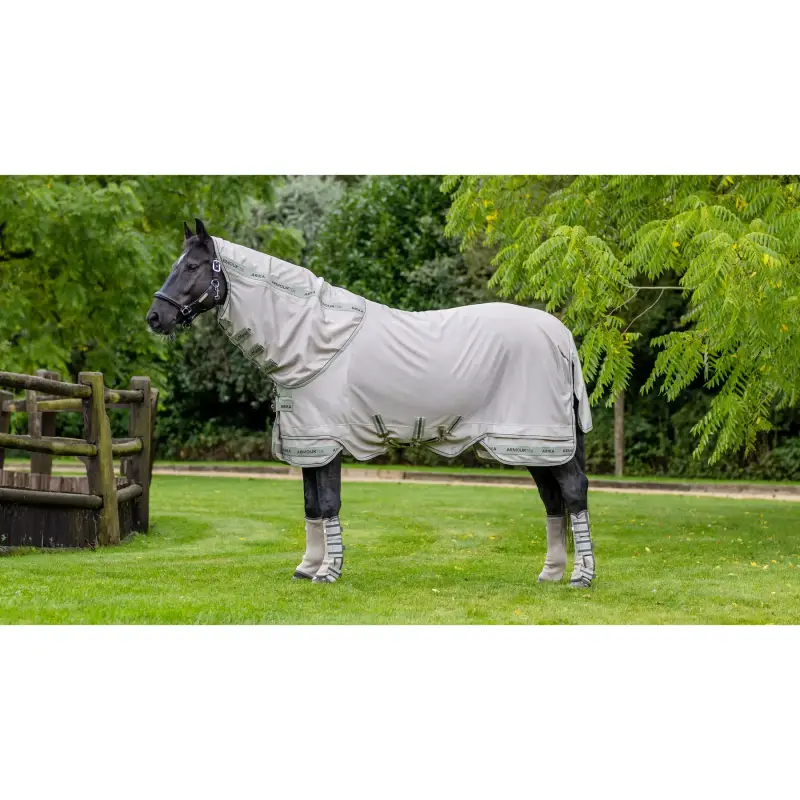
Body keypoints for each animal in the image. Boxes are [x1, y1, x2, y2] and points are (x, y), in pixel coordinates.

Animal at [147, 219, 597, 588]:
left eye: (192, 266)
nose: (155, 318)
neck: (314, 338)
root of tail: (562, 336)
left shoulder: (326, 443)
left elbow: (328, 502)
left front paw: (328, 572)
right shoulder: (309, 444)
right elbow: (311, 504)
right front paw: (307, 567)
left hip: (540, 440)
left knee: (573, 492)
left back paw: (581, 577)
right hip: (532, 446)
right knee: (553, 499)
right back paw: (551, 574)